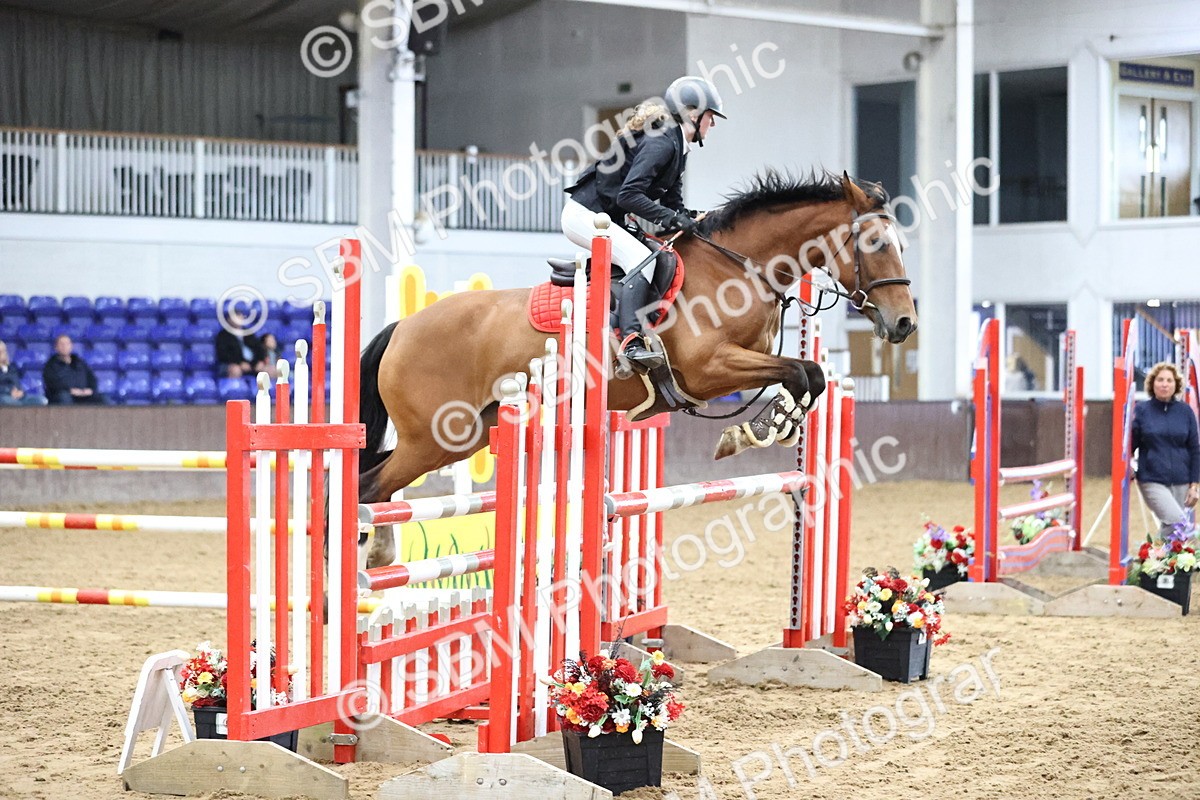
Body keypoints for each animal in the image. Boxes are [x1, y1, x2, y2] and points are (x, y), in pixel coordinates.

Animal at [356, 170, 916, 568]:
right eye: (875, 245)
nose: (905, 323)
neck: (737, 268)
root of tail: (402, 327)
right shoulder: (709, 369)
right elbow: (799, 373)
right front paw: (751, 432)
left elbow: (810, 375)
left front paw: (768, 427)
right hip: (433, 437)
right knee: (368, 487)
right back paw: (366, 561)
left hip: (464, 435)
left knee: (376, 481)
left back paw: (379, 554)